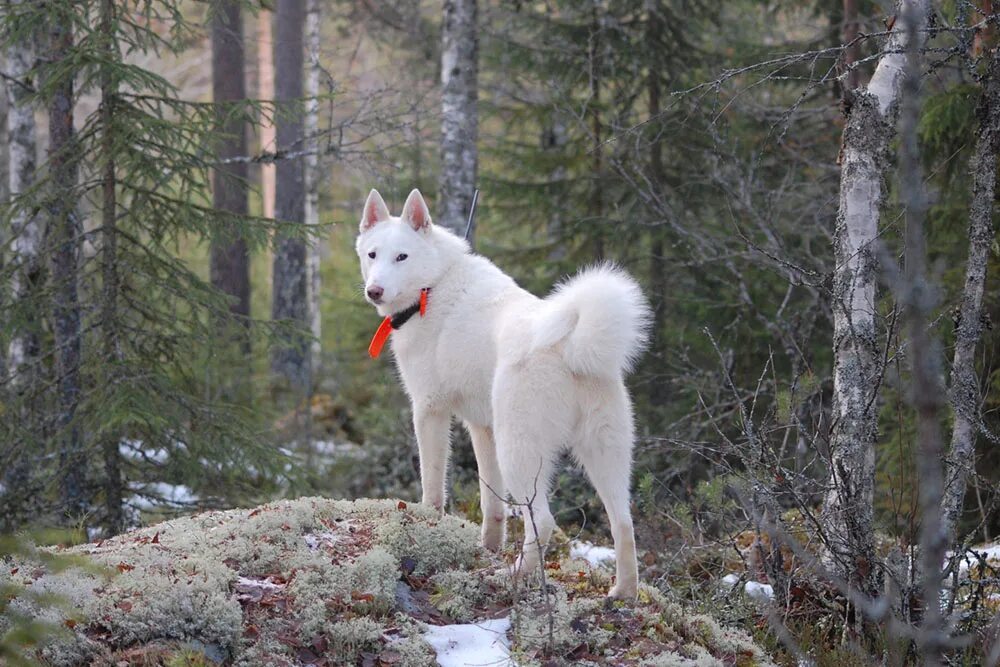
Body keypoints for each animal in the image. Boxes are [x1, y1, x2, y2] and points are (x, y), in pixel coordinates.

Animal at [356, 189, 652, 600]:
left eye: (402, 256)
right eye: (373, 254)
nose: (375, 290)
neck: (435, 283)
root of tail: (571, 345)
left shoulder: (430, 411)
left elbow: (433, 488)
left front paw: (429, 524)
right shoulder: (482, 429)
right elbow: (492, 505)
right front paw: (488, 548)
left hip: (520, 453)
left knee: (543, 521)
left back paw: (513, 575)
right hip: (604, 454)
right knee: (623, 525)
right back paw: (623, 593)